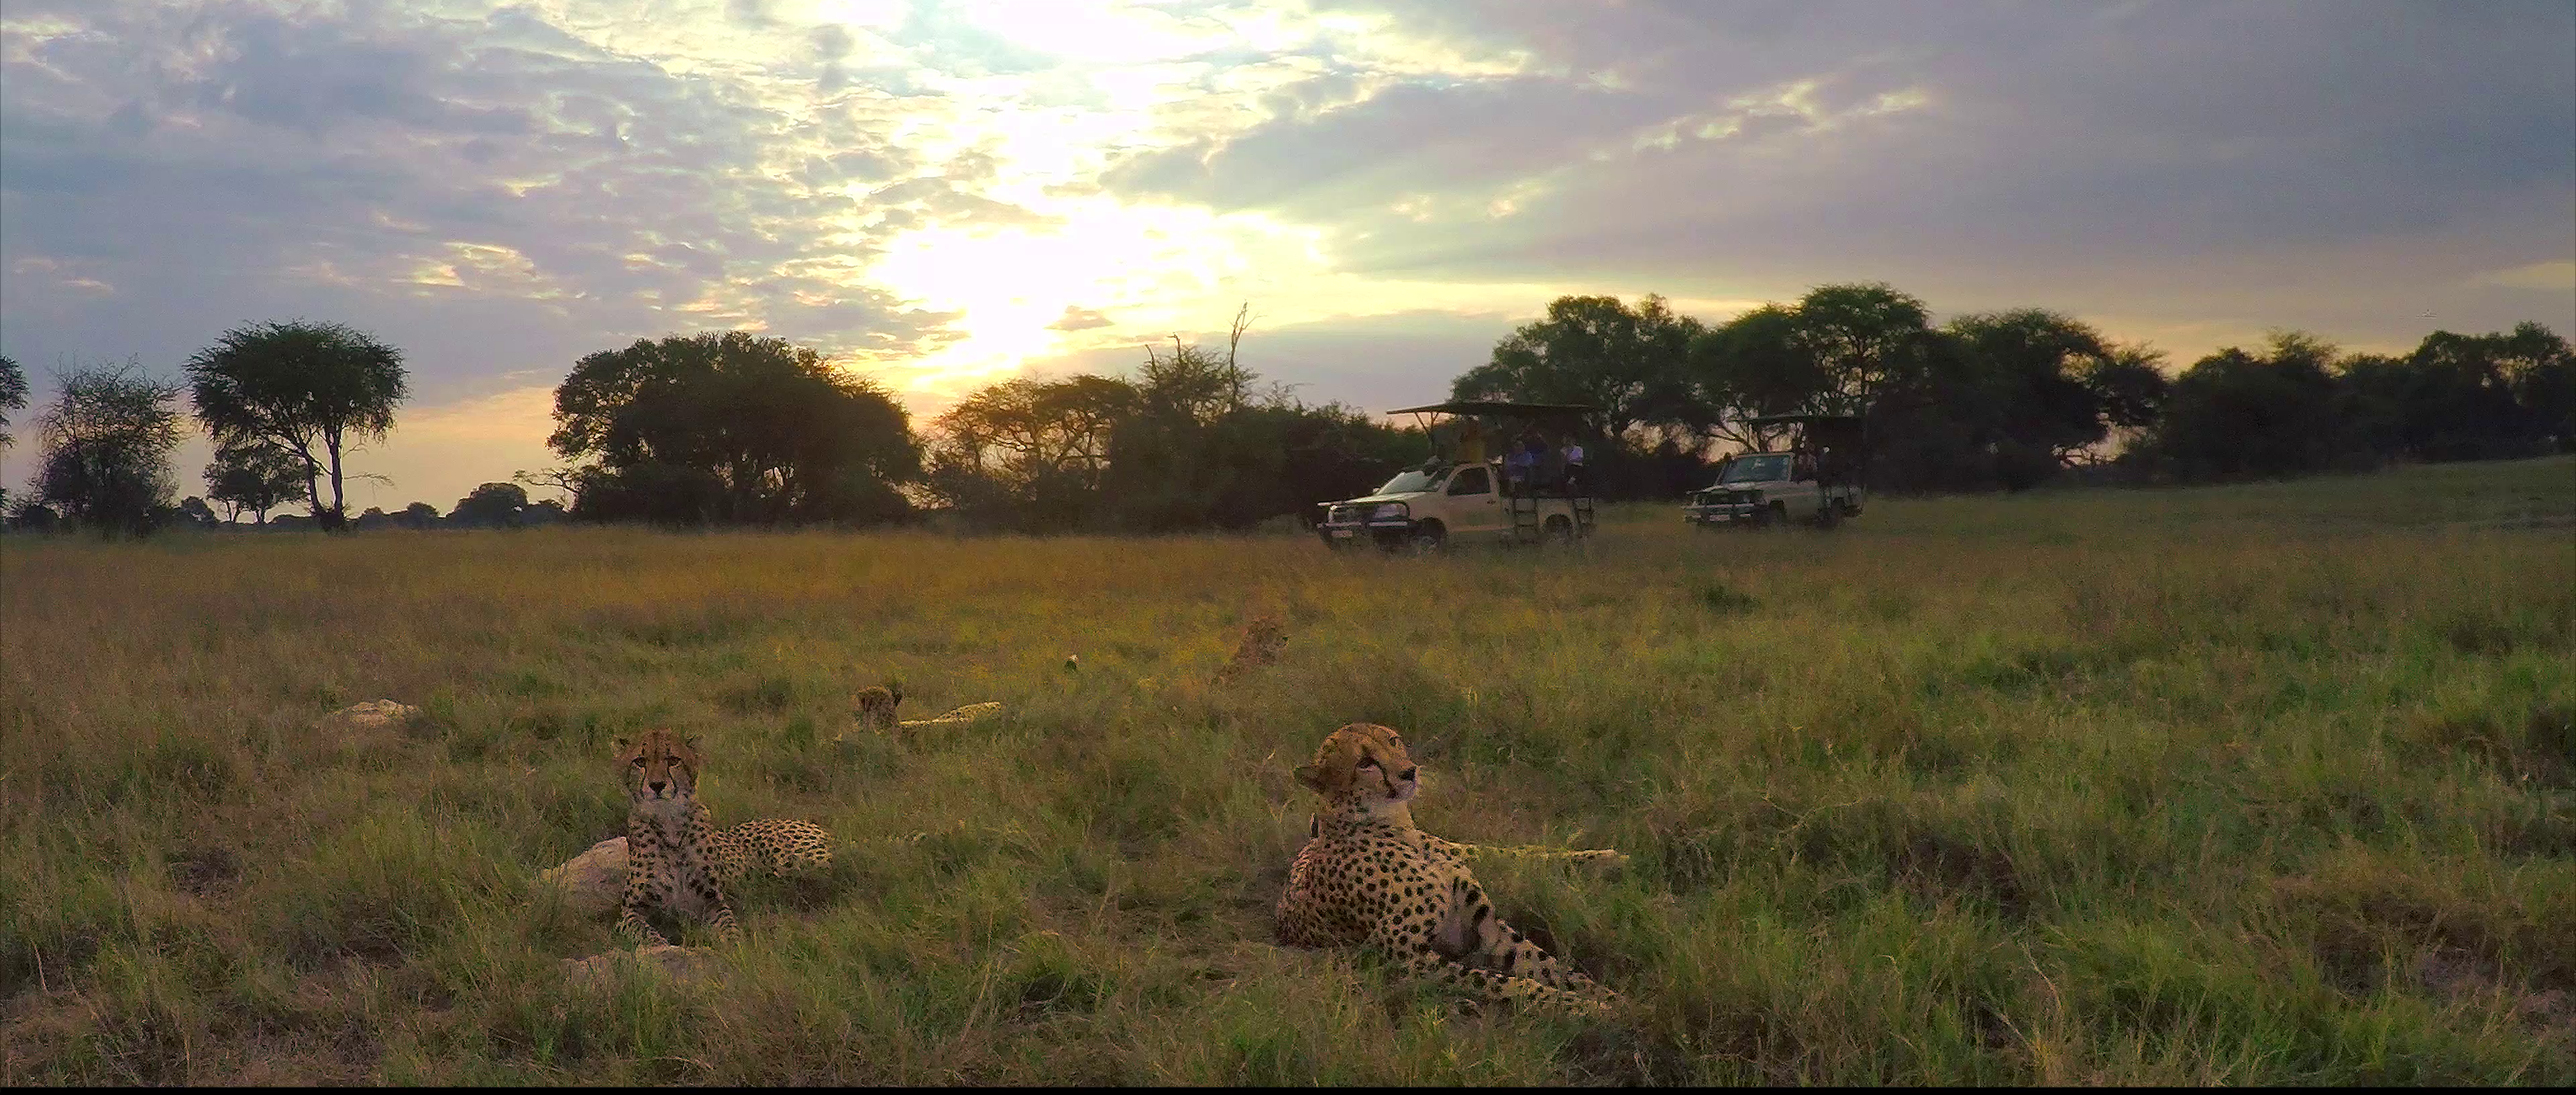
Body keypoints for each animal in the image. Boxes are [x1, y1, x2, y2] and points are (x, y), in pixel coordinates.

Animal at [612, 729, 832, 948]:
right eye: (640, 761)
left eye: (673, 760)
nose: (657, 785)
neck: (669, 824)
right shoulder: (630, 912)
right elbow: (644, 932)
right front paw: (660, 946)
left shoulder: (713, 901)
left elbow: (728, 925)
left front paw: (734, 944)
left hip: (800, 863)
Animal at [1274, 722, 1625, 1015]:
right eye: (1365, 763)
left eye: (1393, 741)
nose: (1409, 772)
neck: (1397, 828)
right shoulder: (1407, 960)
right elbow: (1498, 981)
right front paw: (1581, 1007)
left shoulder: (1489, 929)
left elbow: (1550, 965)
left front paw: (1609, 999)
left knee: (1521, 852)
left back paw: (1611, 858)